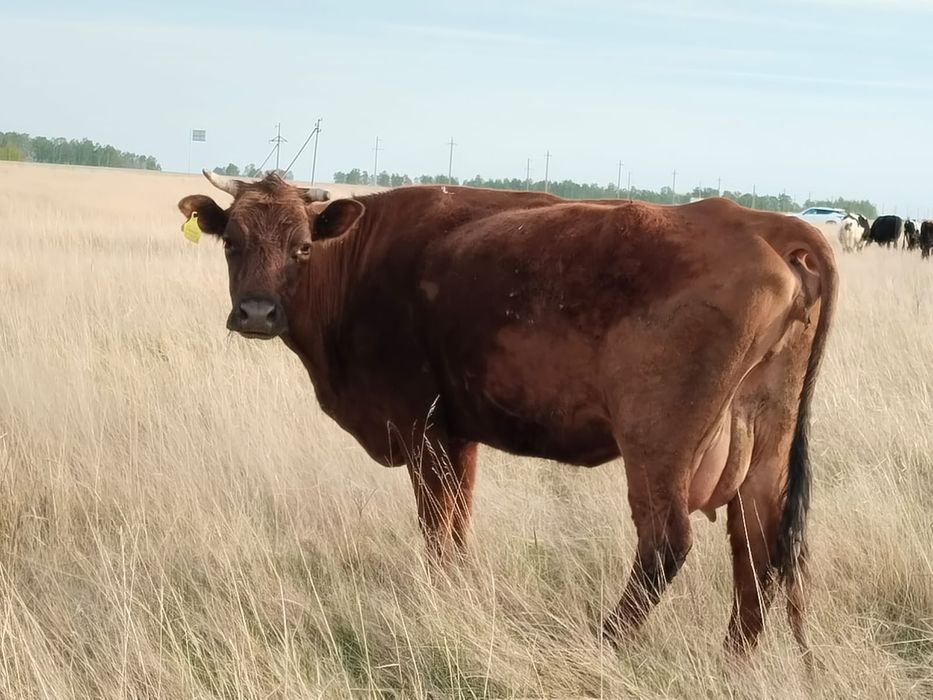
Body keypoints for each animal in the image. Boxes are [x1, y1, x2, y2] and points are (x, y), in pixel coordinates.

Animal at [177, 170, 837, 659]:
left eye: (302, 247)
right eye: (231, 242)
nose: (257, 313)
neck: (358, 267)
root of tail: (762, 223)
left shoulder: (420, 428)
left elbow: (437, 526)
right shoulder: (457, 434)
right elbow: (457, 523)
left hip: (658, 444)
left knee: (665, 545)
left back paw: (602, 642)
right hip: (762, 445)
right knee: (759, 547)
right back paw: (733, 662)